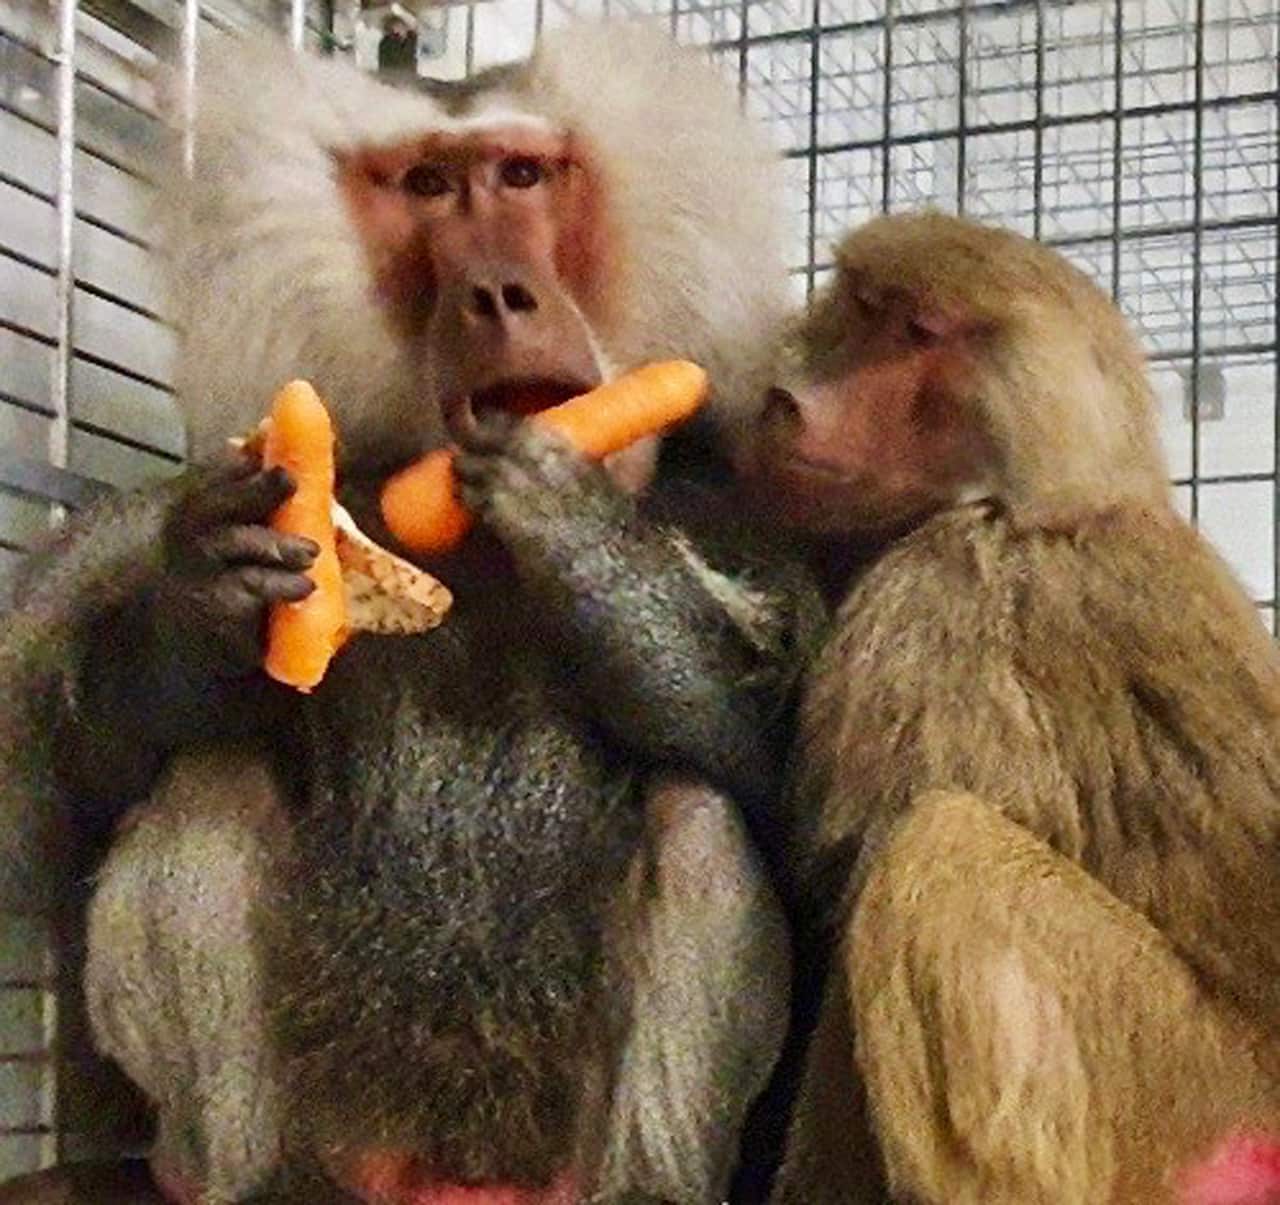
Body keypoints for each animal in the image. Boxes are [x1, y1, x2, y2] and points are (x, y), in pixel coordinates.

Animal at [0, 24, 825, 1204]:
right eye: (431, 187)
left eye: (522, 175)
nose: (499, 292)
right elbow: (60, 792)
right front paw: (202, 604)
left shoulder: (735, 518)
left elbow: (782, 779)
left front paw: (572, 525)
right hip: (327, 1117)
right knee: (206, 784)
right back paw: (249, 1179)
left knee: (698, 812)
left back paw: (649, 1184)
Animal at [733, 210, 1280, 1204]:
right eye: (860, 307)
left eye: (918, 333)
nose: (790, 401)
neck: (1039, 502)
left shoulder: (942, 593)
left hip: (1190, 1102)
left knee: (942, 851)